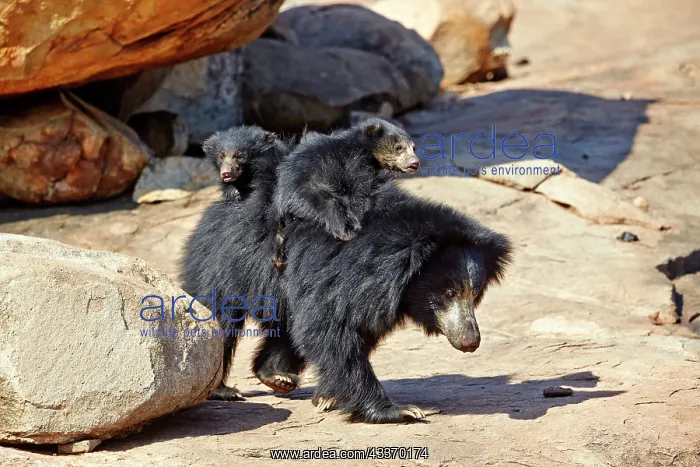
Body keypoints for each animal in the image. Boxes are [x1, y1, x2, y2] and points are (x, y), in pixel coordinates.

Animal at [269, 118, 420, 271]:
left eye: (413, 148)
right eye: (398, 147)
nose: (415, 163)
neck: (362, 146)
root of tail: (281, 200)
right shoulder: (353, 162)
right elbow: (359, 189)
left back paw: (278, 259)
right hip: (308, 190)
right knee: (330, 206)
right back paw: (346, 233)